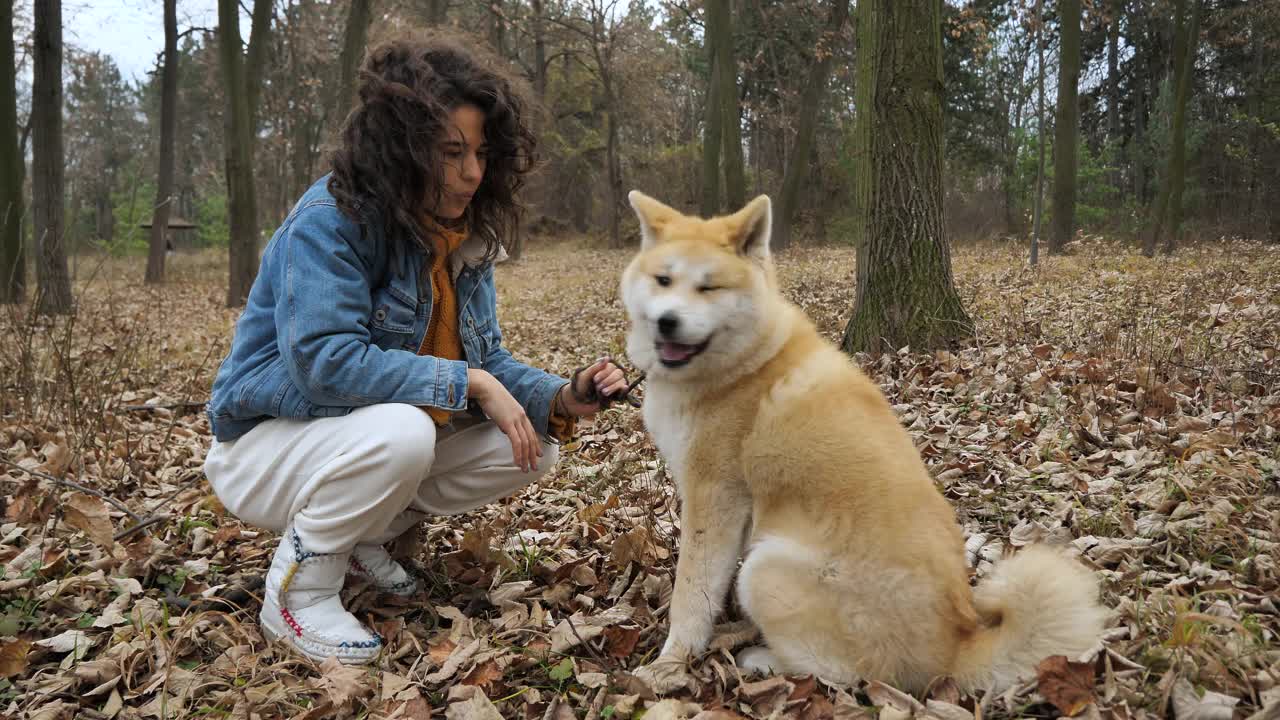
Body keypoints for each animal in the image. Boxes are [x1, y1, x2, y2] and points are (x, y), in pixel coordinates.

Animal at [619, 189, 1111, 691]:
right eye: (663, 280)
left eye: (709, 288)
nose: (667, 322)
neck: (745, 363)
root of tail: (954, 649)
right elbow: (709, 589)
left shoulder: (714, 497)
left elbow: (691, 596)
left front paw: (669, 664)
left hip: (766, 567)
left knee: (846, 673)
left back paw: (760, 657)